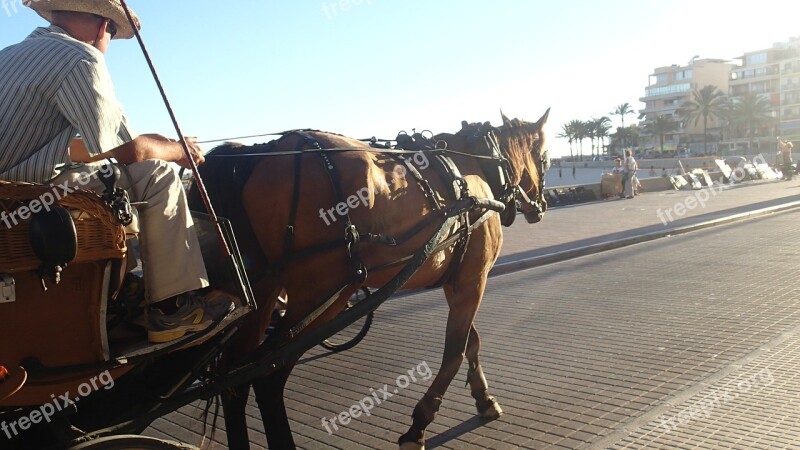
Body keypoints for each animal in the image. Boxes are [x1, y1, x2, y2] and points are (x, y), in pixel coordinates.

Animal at [195, 108, 552, 446]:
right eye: (546, 158)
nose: (541, 205)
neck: (474, 167)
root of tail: (261, 152)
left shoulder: (458, 282)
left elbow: (471, 342)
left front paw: (484, 398)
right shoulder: (473, 280)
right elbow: (455, 351)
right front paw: (418, 425)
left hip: (264, 292)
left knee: (234, 381)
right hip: (323, 295)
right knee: (266, 379)